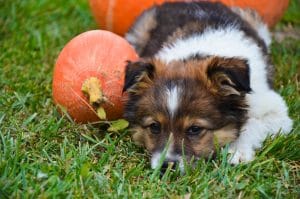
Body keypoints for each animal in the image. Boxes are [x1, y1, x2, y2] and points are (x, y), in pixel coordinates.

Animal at [122, 1, 292, 171]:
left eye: (195, 129)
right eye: (154, 127)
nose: (167, 166)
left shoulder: (276, 112)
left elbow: (252, 125)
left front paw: (237, 152)